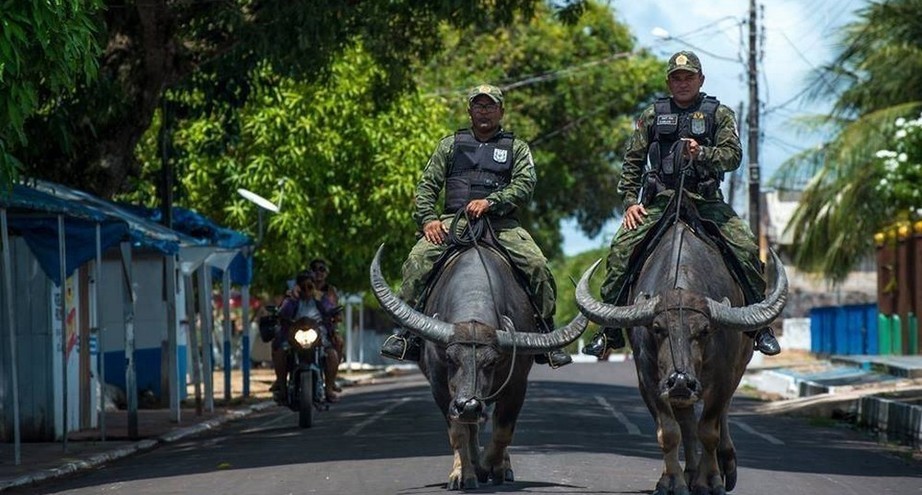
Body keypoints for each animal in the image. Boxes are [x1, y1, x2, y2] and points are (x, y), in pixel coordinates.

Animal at [370, 243, 584, 488]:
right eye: (451, 358)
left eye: (491, 362)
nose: (469, 406)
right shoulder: (441, 390)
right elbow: (459, 433)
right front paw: (464, 473)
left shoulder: (517, 386)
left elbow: (502, 432)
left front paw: (486, 466)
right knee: (471, 428)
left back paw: (501, 468)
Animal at [576, 222, 784, 495]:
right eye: (657, 328)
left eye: (704, 330)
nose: (681, 381)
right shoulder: (650, 380)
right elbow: (670, 432)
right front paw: (671, 481)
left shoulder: (723, 376)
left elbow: (709, 430)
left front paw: (710, 481)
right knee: (687, 424)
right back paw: (691, 473)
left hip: (740, 365)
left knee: (722, 413)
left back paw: (724, 464)